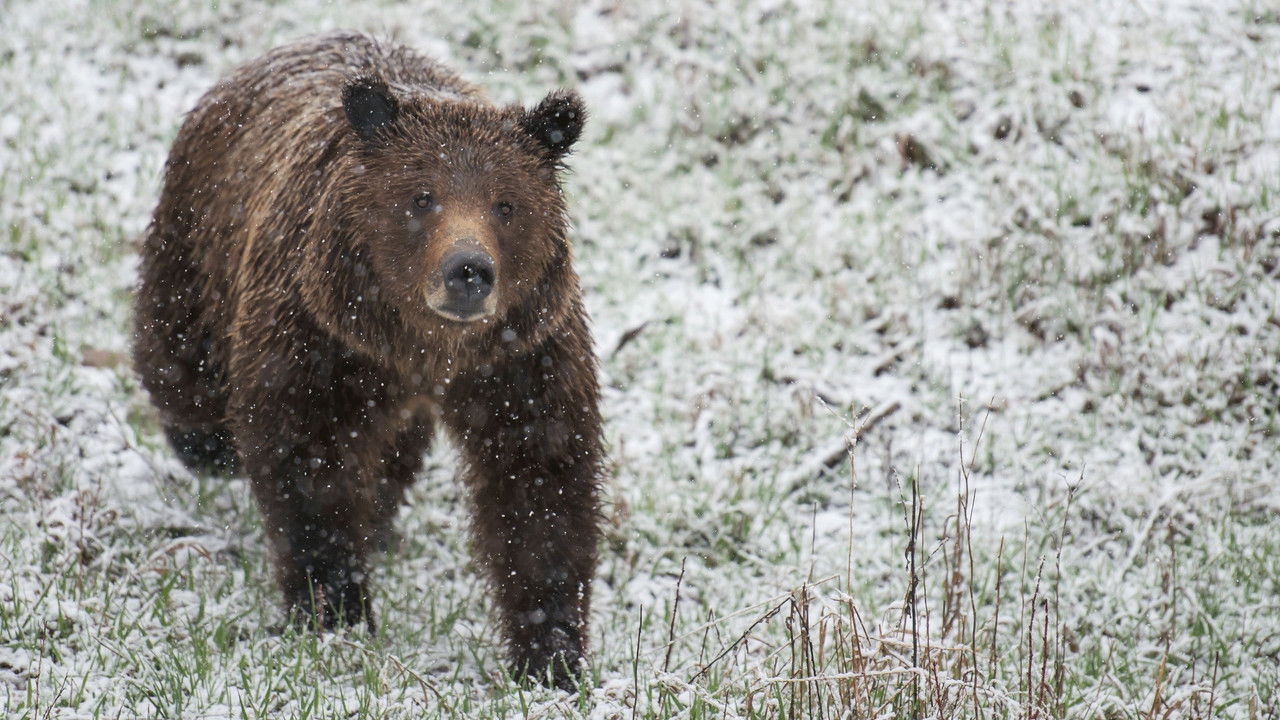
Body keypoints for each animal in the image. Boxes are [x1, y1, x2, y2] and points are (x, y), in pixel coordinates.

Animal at [132, 32, 604, 691]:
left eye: (506, 204)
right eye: (422, 196)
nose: (468, 272)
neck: (421, 345)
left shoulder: (522, 354)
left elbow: (541, 479)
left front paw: (550, 653)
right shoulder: (320, 336)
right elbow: (306, 459)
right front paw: (334, 608)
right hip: (199, 237)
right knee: (179, 354)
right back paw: (206, 442)